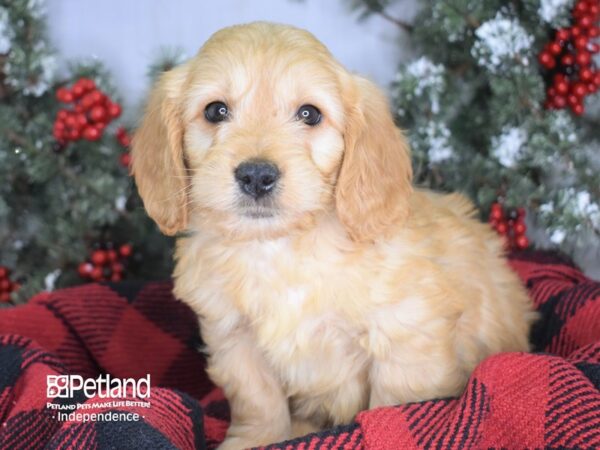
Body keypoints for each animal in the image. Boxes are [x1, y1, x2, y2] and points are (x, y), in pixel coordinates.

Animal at [130, 22, 536, 450]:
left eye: (309, 114)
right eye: (215, 110)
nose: (256, 175)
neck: (280, 248)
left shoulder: (408, 336)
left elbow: (396, 405)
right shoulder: (234, 339)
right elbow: (258, 401)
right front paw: (255, 439)